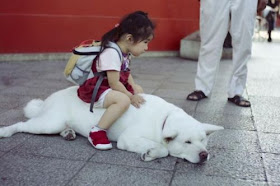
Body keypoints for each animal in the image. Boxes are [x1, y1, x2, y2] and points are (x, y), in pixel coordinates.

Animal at [0, 85, 223, 163]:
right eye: (187, 142)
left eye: (203, 141)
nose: (204, 155)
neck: (164, 119)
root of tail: (48, 99)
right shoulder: (127, 138)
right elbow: (164, 149)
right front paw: (151, 152)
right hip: (49, 123)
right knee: (21, 124)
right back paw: (5, 131)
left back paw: (69, 133)